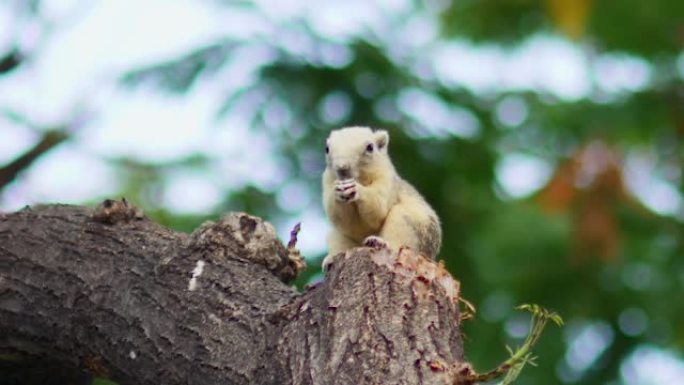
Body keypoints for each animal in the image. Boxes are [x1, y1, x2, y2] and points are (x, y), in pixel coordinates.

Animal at [322, 125, 440, 268]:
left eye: (370, 147)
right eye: (326, 148)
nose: (342, 167)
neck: (361, 179)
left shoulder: (387, 179)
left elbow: (377, 209)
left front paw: (357, 189)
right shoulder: (327, 180)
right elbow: (343, 220)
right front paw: (338, 192)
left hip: (412, 227)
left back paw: (379, 242)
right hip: (338, 236)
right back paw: (330, 259)